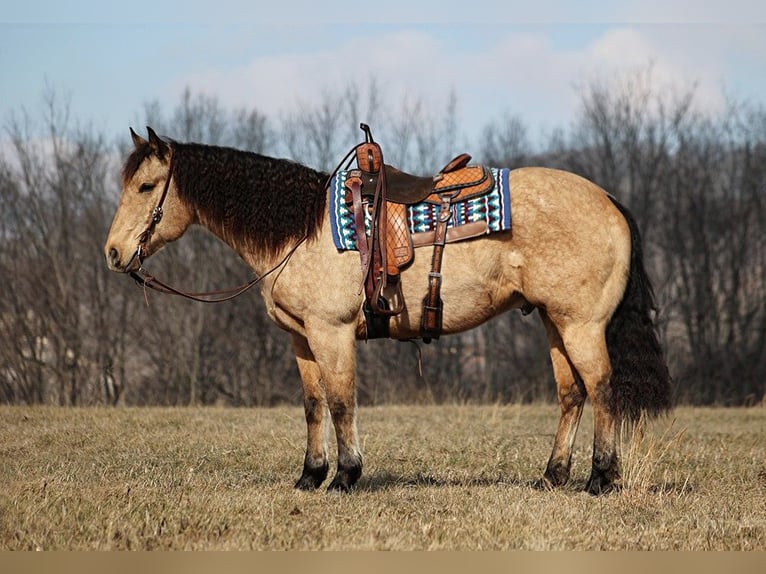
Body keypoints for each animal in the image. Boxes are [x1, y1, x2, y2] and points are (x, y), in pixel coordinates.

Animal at [103, 128, 672, 498]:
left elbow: (341, 402)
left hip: (582, 326)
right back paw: (552, 477)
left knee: (602, 389)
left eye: (146, 187)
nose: (112, 253)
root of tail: (609, 200)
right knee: (572, 394)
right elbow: (313, 405)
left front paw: (345, 476)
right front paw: (309, 475)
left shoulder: (331, 333)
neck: (301, 228)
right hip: (555, 323)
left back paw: (601, 479)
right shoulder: (300, 339)